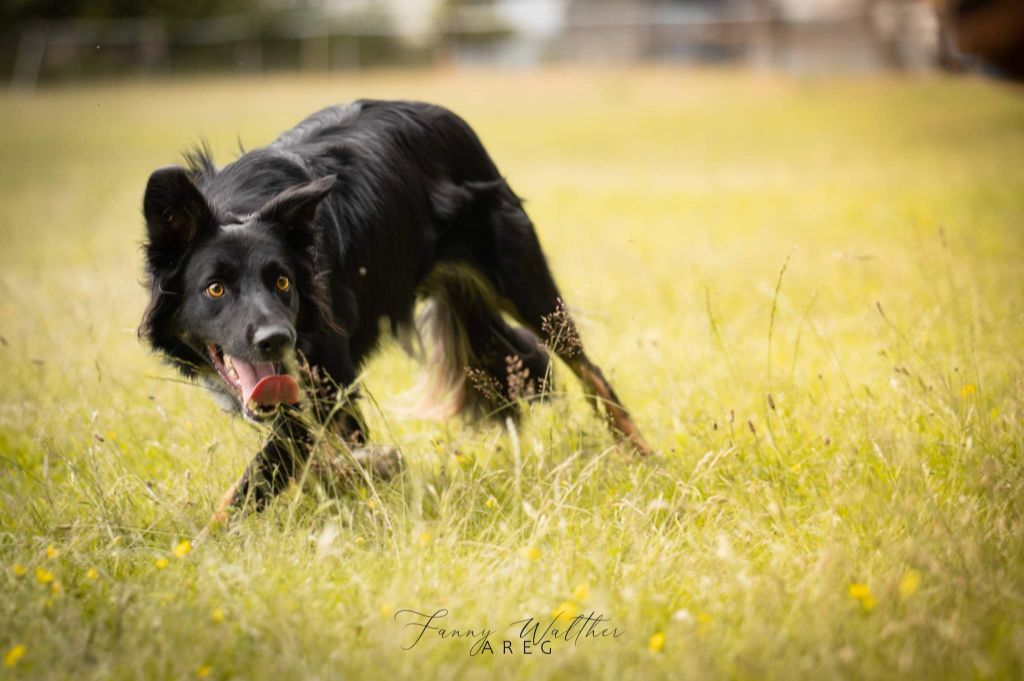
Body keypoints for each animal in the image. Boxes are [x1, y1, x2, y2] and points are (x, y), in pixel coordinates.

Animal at [140, 99, 651, 524]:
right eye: (215, 289)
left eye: (282, 282)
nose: (275, 340)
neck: (240, 206)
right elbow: (313, 458)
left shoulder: (331, 378)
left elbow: (266, 472)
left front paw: (206, 541)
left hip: (525, 284)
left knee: (591, 373)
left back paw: (643, 456)